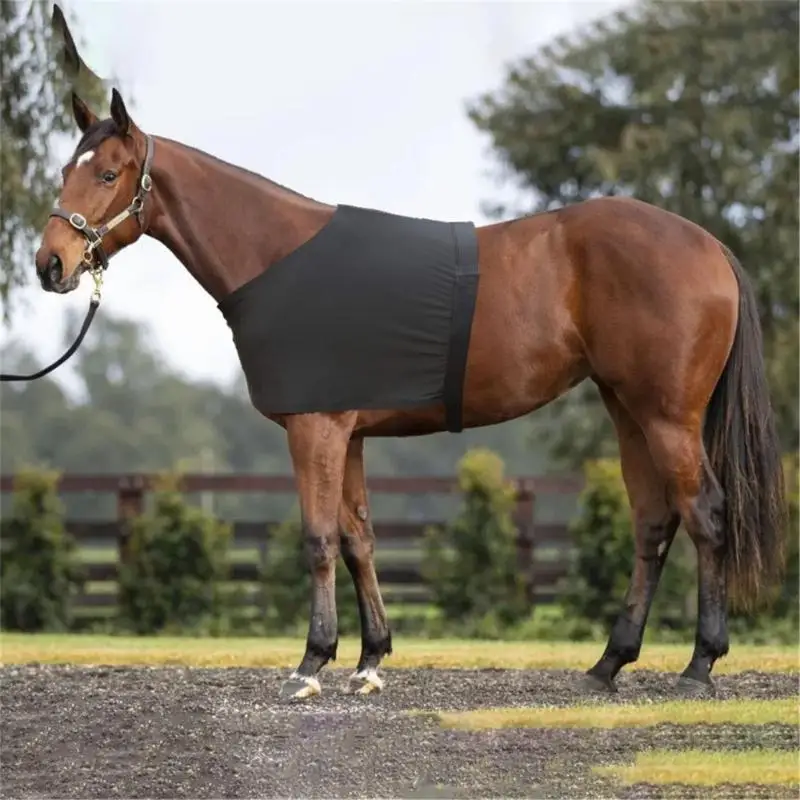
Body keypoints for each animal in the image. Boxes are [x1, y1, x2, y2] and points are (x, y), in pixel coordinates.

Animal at [34, 88, 786, 701]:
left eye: (107, 173)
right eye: (67, 170)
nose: (50, 264)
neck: (277, 257)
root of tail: (709, 247)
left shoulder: (315, 427)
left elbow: (318, 538)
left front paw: (311, 663)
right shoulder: (350, 434)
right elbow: (359, 537)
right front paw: (370, 660)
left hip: (668, 417)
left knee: (706, 515)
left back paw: (698, 666)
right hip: (627, 409)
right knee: (653, 523)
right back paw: (608, 663)